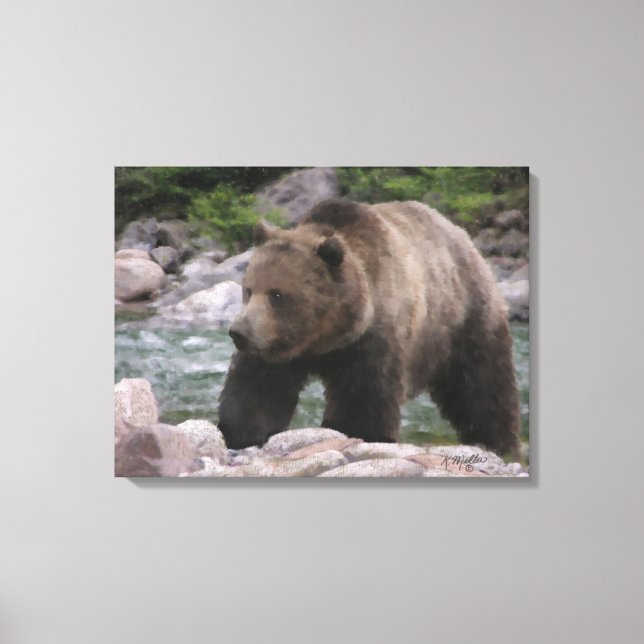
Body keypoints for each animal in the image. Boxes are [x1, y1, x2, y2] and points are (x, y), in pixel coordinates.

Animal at [218, 199, 520, 458]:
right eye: (249, 289)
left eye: (277, 294)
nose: (239, 332)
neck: (326, 337)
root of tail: (464, 238)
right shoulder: (277, 348)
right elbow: (258, 388)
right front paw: (241, 434)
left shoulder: (372, 341)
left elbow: (363, 397)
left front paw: (357, 432)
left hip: (464, 318)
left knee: (481, 386)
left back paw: (497, 442)